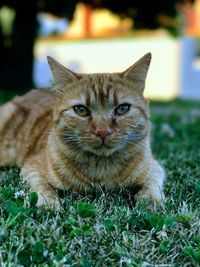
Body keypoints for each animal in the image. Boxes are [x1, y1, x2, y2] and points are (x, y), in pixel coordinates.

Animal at [0, 53, 165, 208]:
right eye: (81, 110)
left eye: (122, 108)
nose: (103, 132)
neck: (101, 171)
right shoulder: (31, 168)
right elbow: (42, 188)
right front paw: (47, 203)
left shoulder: (156, 169)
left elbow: (152, 186)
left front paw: (151, 201)